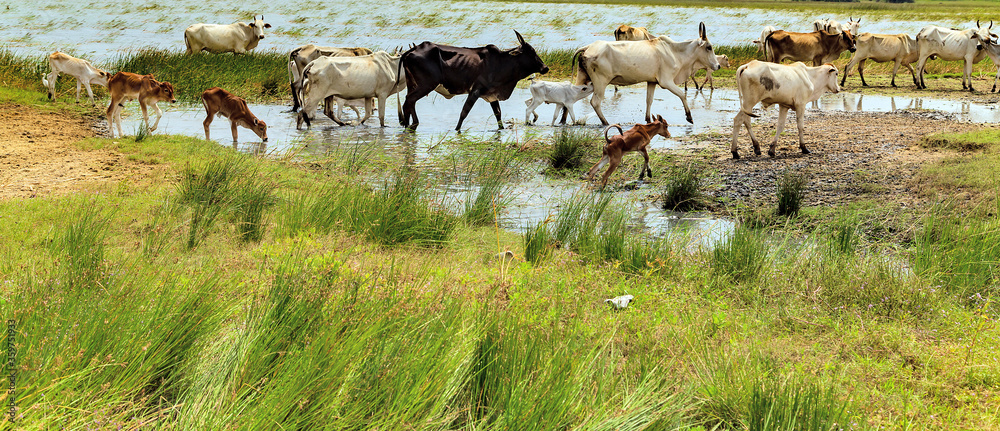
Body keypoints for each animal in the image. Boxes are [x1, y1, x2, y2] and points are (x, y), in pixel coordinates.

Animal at [398, 30, 552, 132]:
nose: (545, 68)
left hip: (412, 84)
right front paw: (457, 130)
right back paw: (414, 124)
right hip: (427, 84)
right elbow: (464, 112)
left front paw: (501, 129)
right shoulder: (475, 91)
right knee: (410, 100)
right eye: (531, 53)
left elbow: (498, 114)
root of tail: (412, 50)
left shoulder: (492, 95)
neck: (501, 63)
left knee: (407, 103)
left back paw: (407, 124)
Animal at [576, 21, 724, 125]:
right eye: (709, 47)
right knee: (595, 102)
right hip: (601, 82)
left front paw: (648, 119)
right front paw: (689, 117)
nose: (717, 65)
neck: (674, 51)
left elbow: (649, 100)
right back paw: (605, 122)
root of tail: (588, 47)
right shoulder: (666, 82)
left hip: (583, 80)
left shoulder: (652, 81)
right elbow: (682, 94)